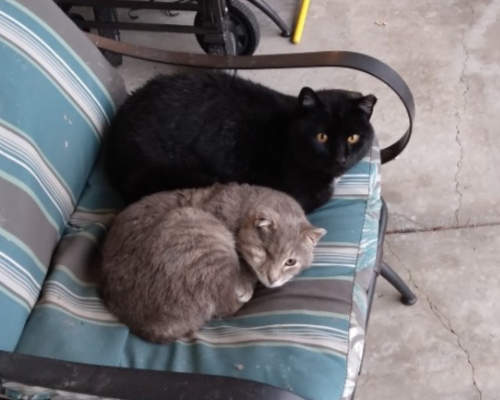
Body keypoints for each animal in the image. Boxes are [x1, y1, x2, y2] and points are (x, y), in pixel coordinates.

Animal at [100, 184, 326, 344]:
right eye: (265, 252)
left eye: (290, 261)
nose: (272, 279)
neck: (241, 210)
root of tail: (148, 326)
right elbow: (245, 264)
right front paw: (247, 282)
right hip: (202, 235)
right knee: (225, 305)